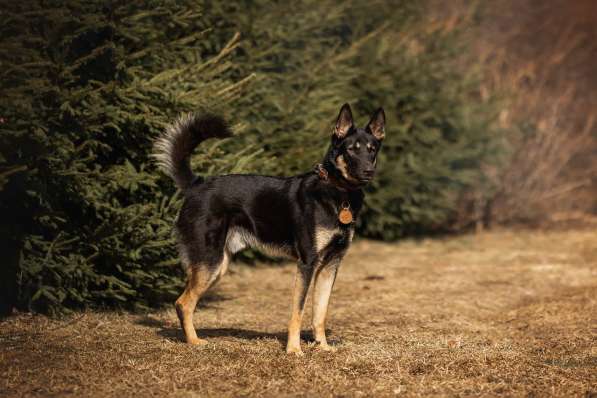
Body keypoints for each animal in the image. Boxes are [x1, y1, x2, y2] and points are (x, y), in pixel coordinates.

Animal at [154, 103, 386, 354]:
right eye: (352, 149)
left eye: (372, 150)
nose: (368, 171)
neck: (338, 192)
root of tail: (196, 185)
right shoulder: (307, 263)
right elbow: (298, 312)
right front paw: (293, 350)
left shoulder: (331, 264)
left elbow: (320, 312)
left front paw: (322, 346)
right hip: (209, 262)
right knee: (183, 303)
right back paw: (194, 342)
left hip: (219, 265)